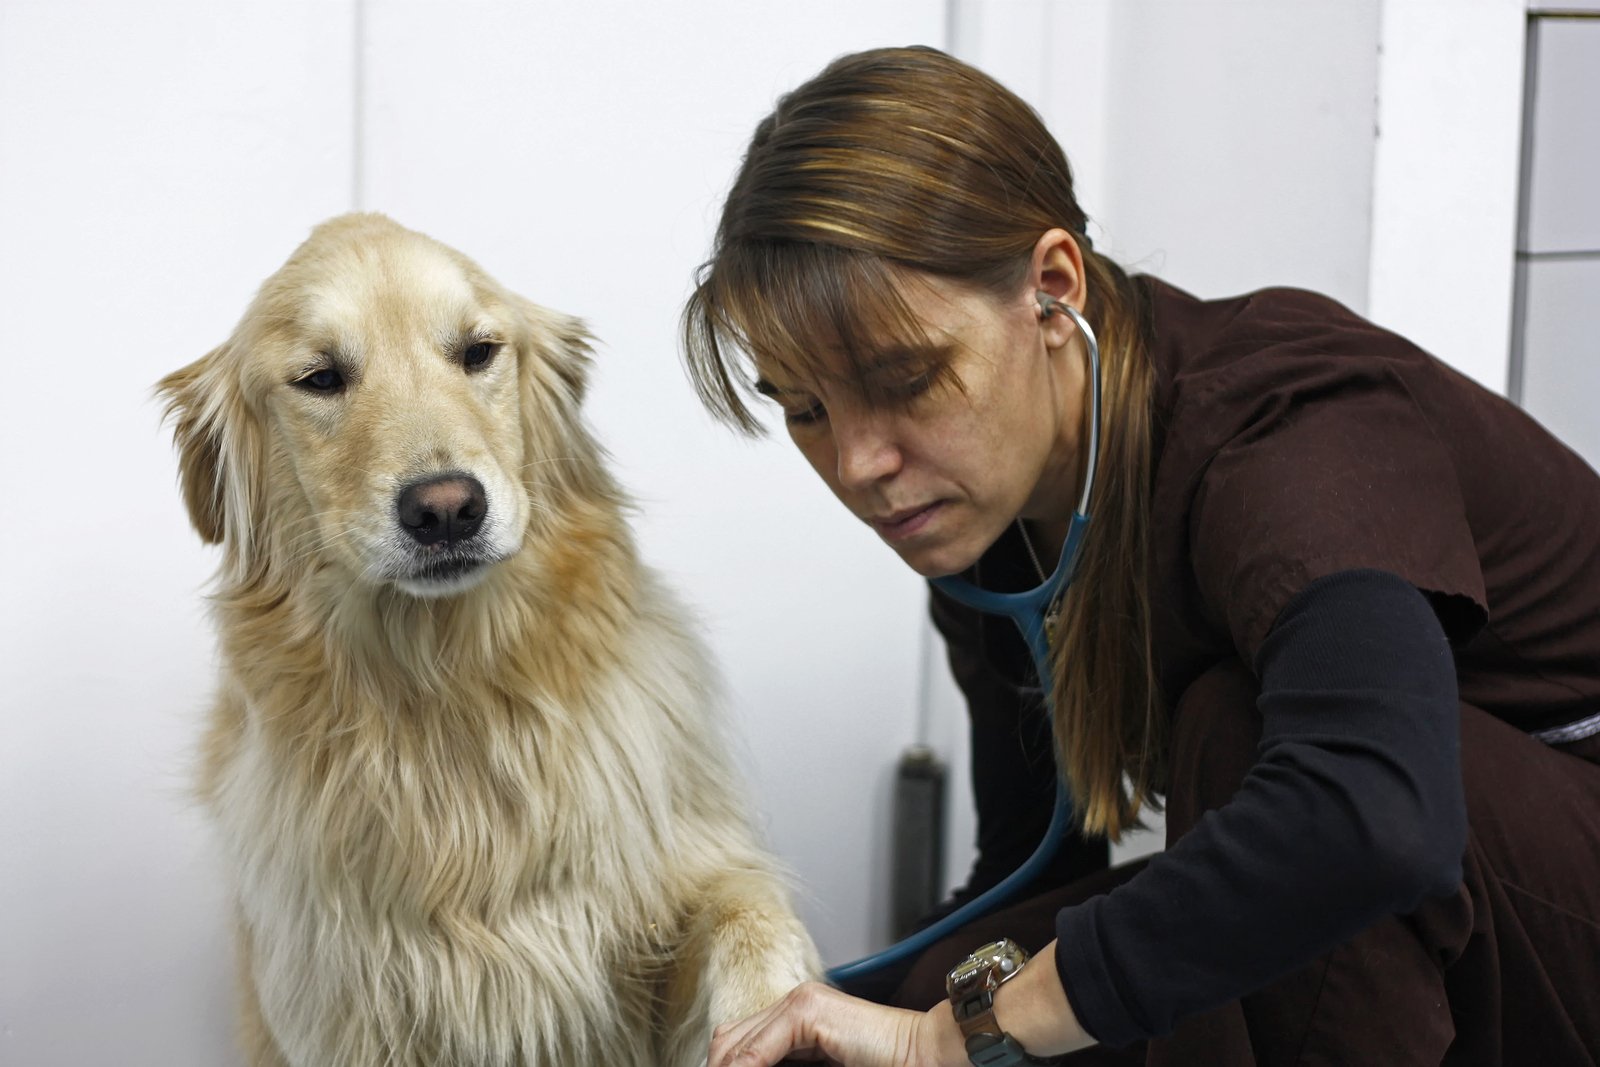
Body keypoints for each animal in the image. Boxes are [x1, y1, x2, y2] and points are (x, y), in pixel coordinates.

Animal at [157, 212, 819, 1062]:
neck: (454, 691)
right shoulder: (343, 1004)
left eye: (477, 352)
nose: (446, 509)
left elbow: (742, 901)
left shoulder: (665, 871)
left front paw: (771, 1009)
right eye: (321, 378)